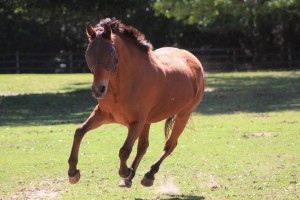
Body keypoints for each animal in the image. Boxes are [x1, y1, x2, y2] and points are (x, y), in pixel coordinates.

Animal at [67, 17, 205, 188]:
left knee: (169, 145)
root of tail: (194, 61)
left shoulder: (137, 122)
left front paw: (124, 171)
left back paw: (148, 175)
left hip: (183, 115)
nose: (98, 89)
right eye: (88, 53)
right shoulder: (102, 115)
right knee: (143, 147)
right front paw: (72, 172)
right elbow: (79, 132)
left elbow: (124, 150)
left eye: (111, 54)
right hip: (148, 122)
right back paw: (131, 177)